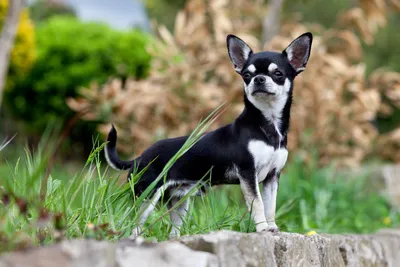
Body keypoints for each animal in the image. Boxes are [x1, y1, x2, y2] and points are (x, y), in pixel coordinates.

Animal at [105, 32, 312, 238]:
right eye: (246, 75)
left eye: (278, 74)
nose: (259, 79)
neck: (267, 125)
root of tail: (139, 157)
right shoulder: (248, 174)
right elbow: (258, 204)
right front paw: (262, 228)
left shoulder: (272, 177)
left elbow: (270, 206)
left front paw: (272, 227)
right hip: (147, 197)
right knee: (133, 225)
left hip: (179, 202)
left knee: (172, 232)